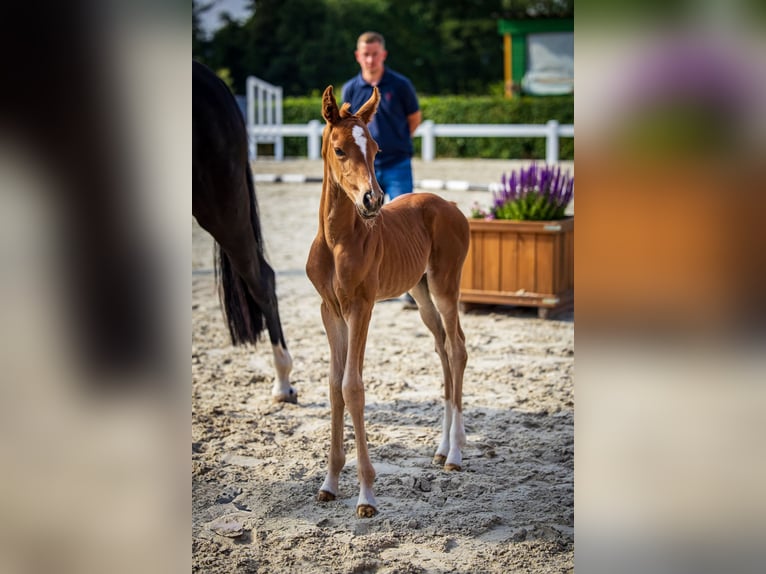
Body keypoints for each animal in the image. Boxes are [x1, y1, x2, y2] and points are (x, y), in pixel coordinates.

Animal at [308, 86, 472, 520]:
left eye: (376, 148)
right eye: (339, 149)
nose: (373, 199)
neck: (338, 239)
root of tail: (452, 206)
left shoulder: (361, 307)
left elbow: (352, 387)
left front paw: (366, 495)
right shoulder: (329, 310)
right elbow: (333, 385)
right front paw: (329, 484)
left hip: (445, 286)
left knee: (458, 348)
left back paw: (456, 454)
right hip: (421, 292)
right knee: (441, 349)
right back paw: (441, 449)